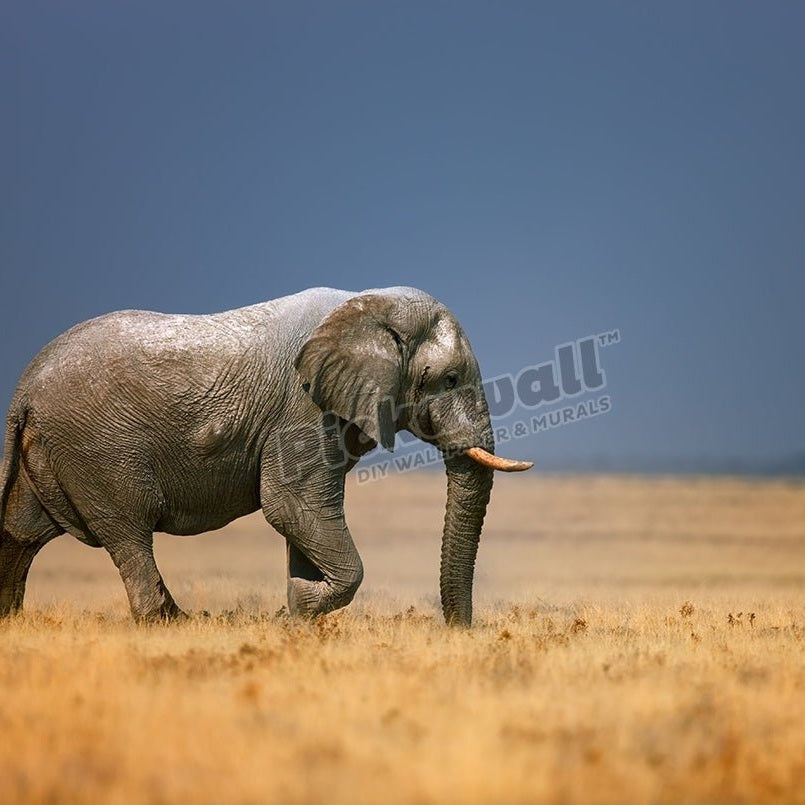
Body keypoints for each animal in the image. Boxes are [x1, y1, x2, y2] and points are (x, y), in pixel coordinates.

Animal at [0, 287, 531, 625]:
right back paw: (171, 622)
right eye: (449, 379)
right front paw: (297, 607)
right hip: (99, 450)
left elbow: (303, 517)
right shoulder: (302, 407)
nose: (460, 631)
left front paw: (297, 614)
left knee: (21, 533)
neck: (369, 305)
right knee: (128, 532)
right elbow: (290, 505)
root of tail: (24, 387)